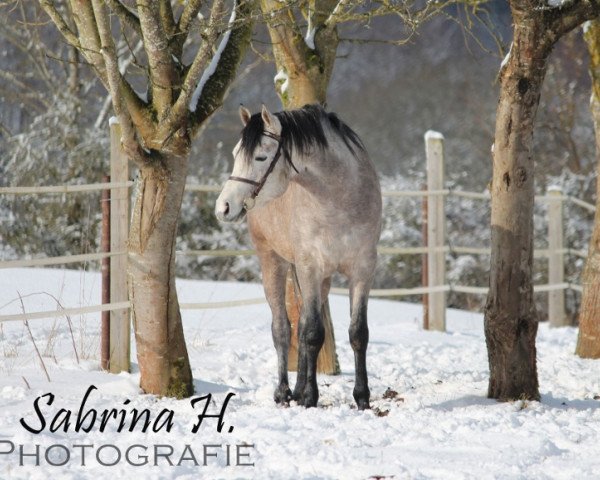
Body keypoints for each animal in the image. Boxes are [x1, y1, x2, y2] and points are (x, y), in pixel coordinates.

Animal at [216, 105, 382, 408]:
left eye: (261, 156)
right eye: (235, 154)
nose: (223, 207)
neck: (339, 199)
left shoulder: (362, 269)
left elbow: (356, 333)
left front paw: (362, 398)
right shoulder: (310, 267)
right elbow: (312, 333)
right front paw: (310, 397)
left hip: (320, 278)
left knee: (302, 325)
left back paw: (298, 386)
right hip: (273, 263)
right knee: (282, 329)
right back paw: (284, 392)